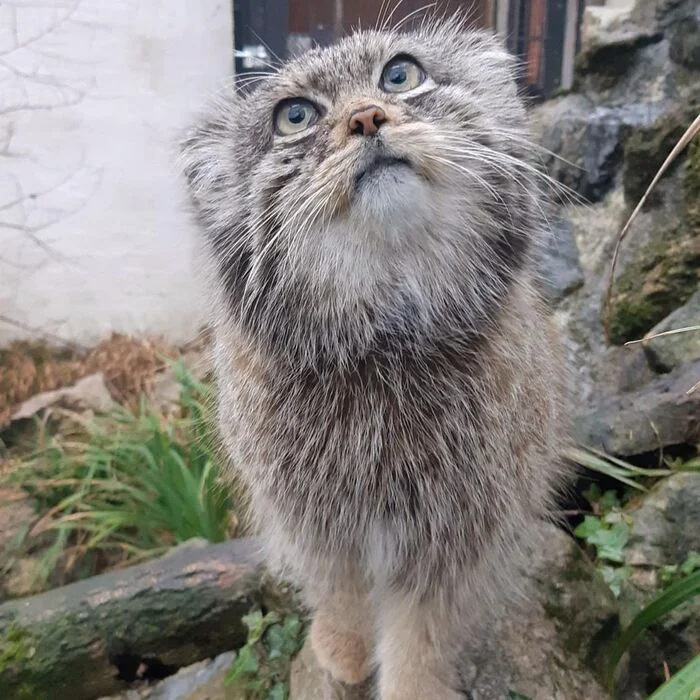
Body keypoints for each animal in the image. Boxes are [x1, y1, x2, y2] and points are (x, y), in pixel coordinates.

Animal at [182, 16, 568, 700]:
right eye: (295, 116)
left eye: (401, 75)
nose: (366, 116)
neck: (383, 346)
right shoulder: (312, 519)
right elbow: (338, 591)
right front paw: (342, 647)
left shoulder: (457, 531)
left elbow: (422, 635)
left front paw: (412, 686)